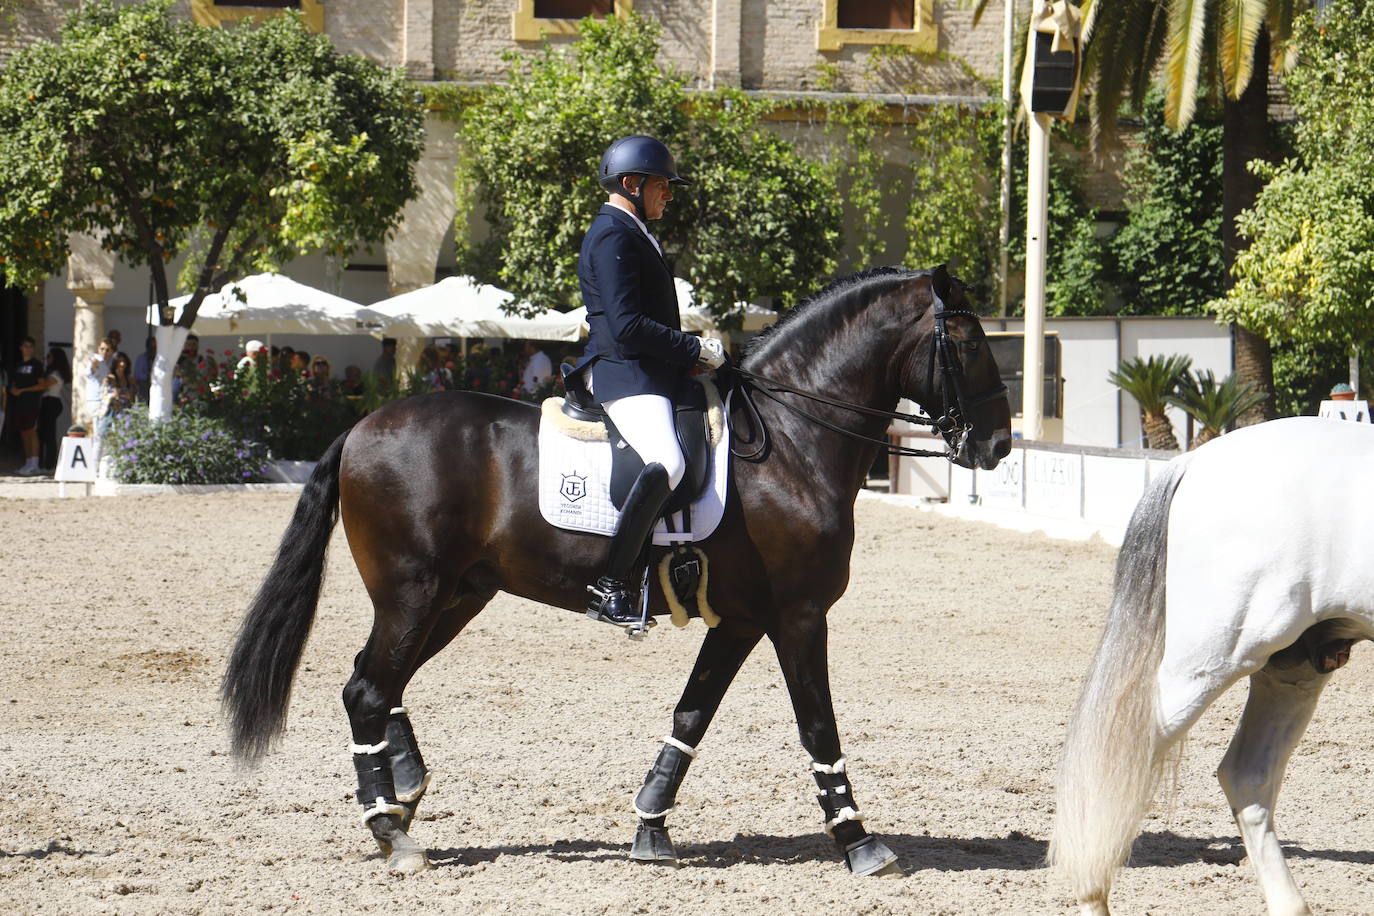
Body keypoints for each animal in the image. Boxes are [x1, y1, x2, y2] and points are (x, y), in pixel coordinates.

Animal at [222, 263, 1011, 873]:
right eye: (973, 341)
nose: (999, 444)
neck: (793, 442)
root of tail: (360, 427)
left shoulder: (743, 620)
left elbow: (692, 715)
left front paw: (651, 826)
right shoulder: (798, 615)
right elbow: (819, 726)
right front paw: (859, 842)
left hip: (456, 595)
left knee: (380, 683)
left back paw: (404, 790)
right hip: (414, 593)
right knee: (366, 689)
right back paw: (392, 830)